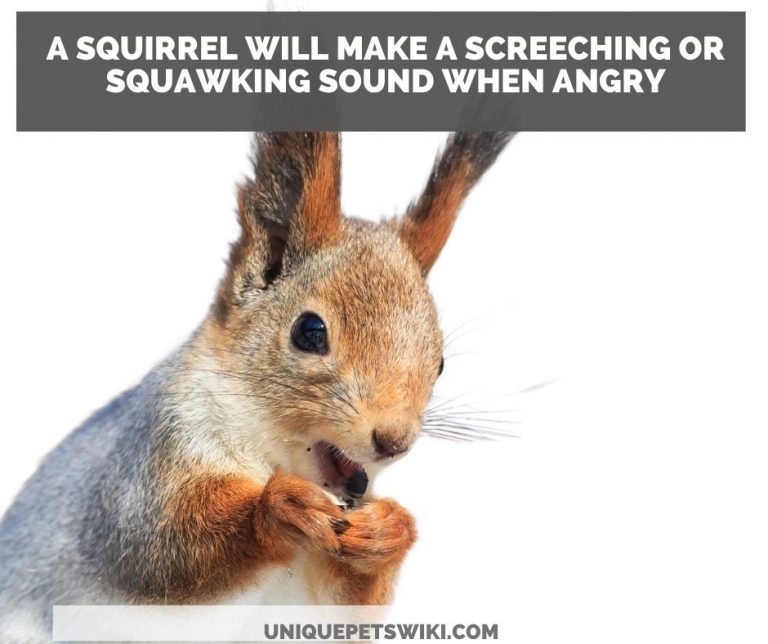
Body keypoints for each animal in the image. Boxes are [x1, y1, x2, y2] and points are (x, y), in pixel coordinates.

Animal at [0, 131, 511, 641]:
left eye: (440, 363)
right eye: (310, 332)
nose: (393, 441)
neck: (269, 454)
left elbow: (345, 609)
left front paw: (389, 530)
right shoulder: (143, 467)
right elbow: (158, 548)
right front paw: (281, 507)